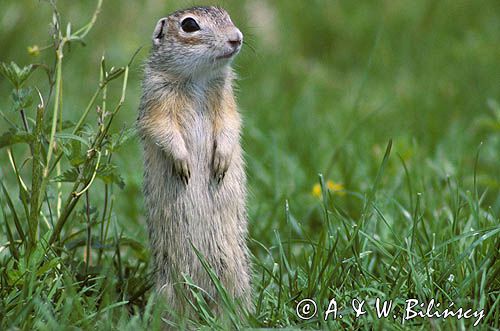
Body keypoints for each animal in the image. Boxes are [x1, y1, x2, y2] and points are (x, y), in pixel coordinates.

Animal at [137, 5, 252, 316]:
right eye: (189, 25)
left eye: (227, 15)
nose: (237, 38)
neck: (198, 78)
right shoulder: (156, 96)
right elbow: (162, 129)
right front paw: (183, 164)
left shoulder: (227, 98)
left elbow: (230, 124)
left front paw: (221, 160)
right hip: (169, 288)